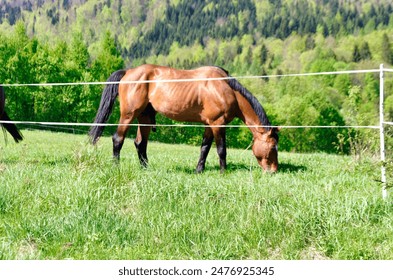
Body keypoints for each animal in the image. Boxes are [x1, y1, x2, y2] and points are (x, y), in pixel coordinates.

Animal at [89, 64, 278, 172]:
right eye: (272, 147)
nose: (273, 170)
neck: (226, 88)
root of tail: (128, 72)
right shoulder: (218, 124)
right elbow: (221, 149)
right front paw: (223, 172)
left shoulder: (209, 124)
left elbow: (204, 148)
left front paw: (199, 170)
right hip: (128, 115)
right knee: (118, 139)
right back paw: (116, 167)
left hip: (145, 117)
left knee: (140, 144)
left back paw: (146, 169)